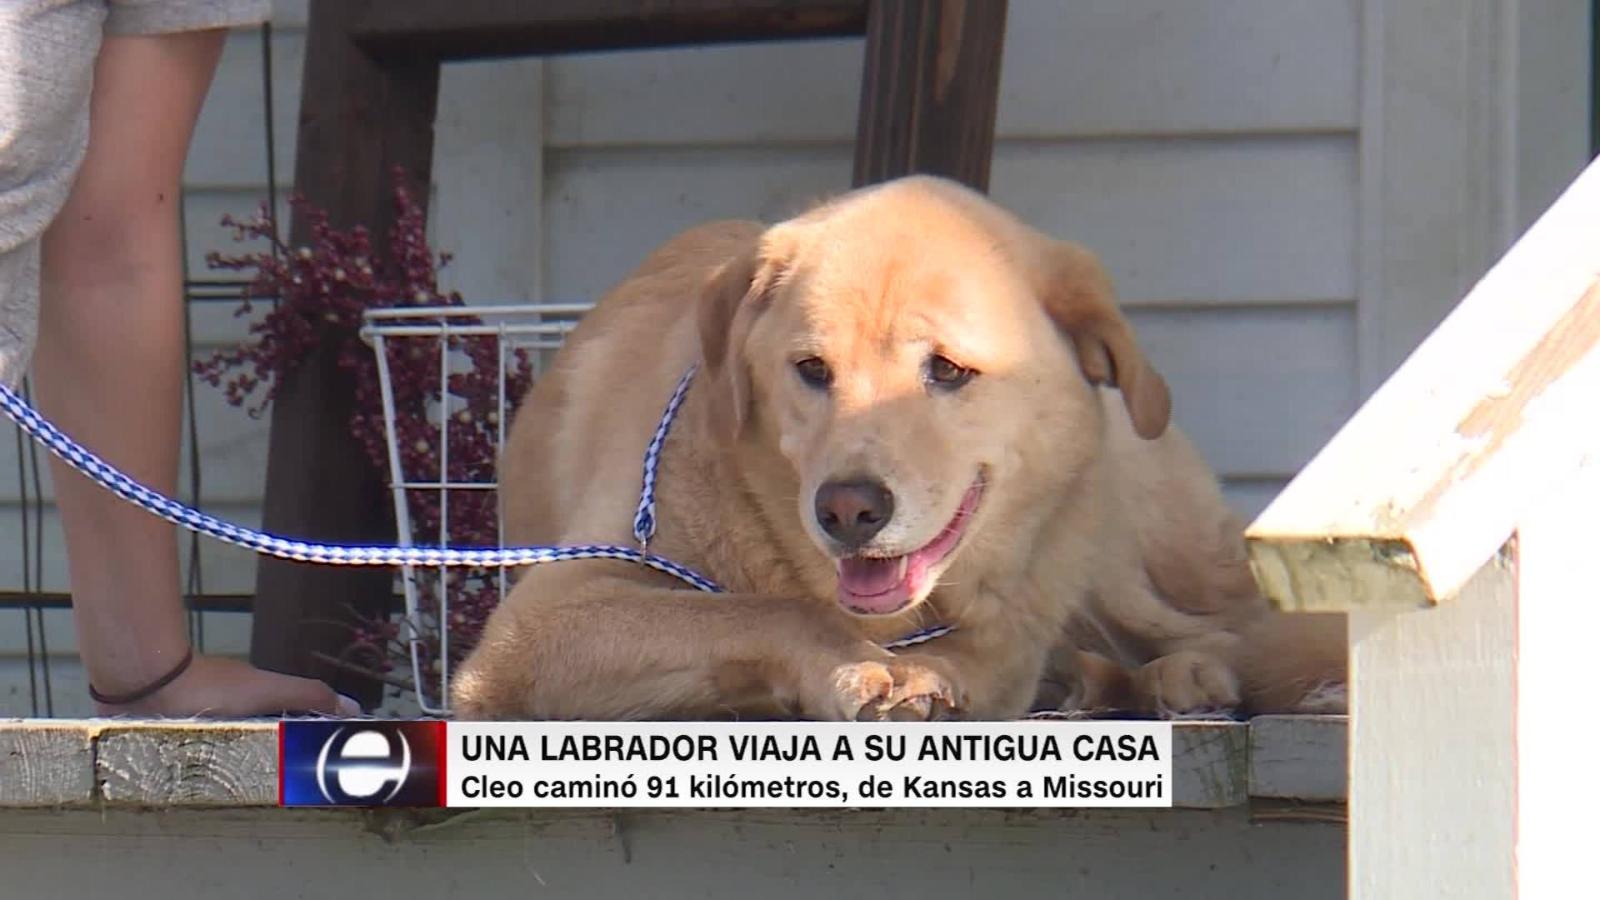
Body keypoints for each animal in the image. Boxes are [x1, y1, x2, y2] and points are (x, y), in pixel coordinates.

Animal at [454, 175, 1350, 720]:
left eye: (947, 370)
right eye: (812, 370)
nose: (849, 509)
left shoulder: (1008, 630)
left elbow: (978, 656)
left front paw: (926, 673)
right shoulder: (541, 623)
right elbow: (756, 608)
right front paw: (857, 665)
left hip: (1137, 545)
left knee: (1240, 629)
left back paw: (1186, 675)